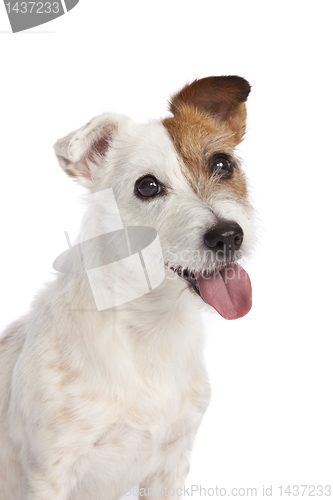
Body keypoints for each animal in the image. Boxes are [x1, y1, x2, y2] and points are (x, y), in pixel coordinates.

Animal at [0, 76, 255, 498]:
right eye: (147, 186)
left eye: (222, 163)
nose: (228, 236)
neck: (150, 329)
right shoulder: (48, 475)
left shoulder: (170, 467)